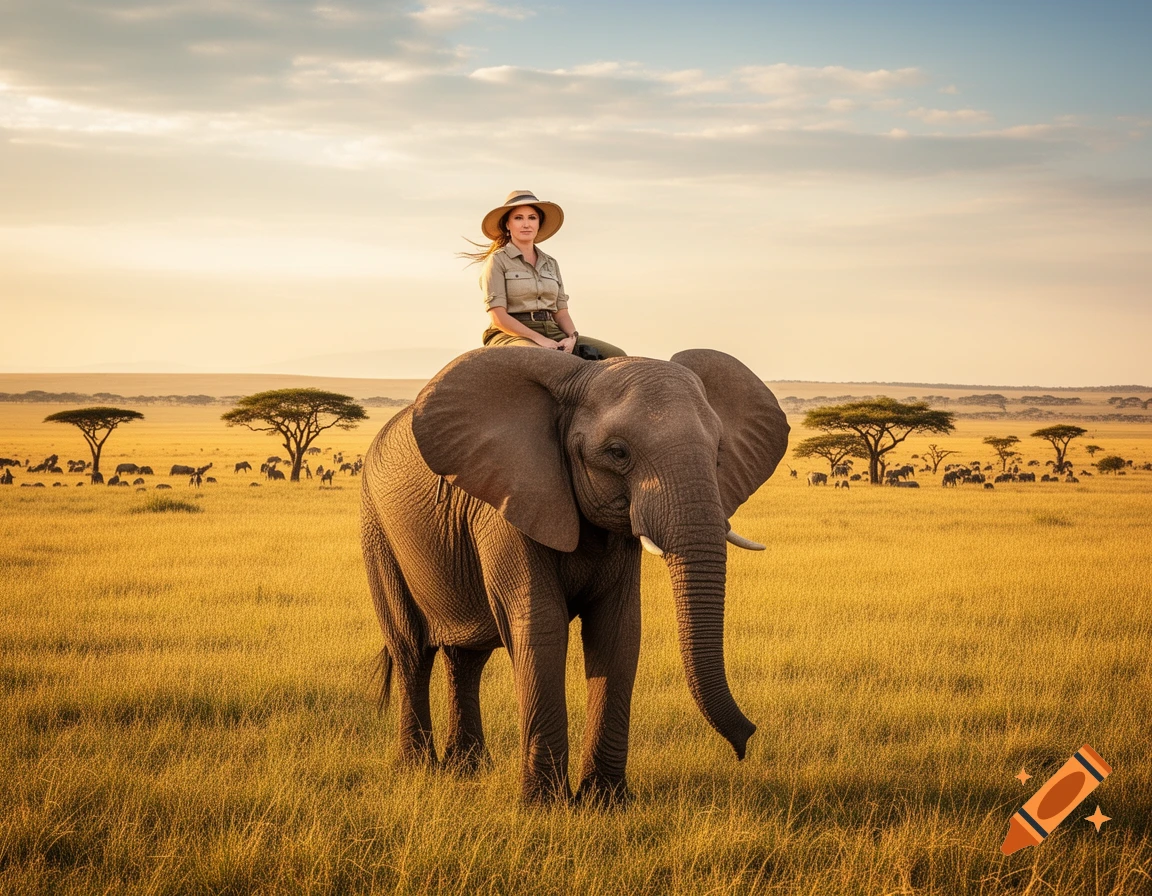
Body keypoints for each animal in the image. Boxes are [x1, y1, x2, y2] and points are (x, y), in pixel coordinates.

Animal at [360, 347, 789, 804]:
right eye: (618, 453)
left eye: (719, 452)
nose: (746, 741)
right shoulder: (508, 504)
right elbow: (541, 624)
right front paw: (544, 806)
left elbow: (617, 629)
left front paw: (606, 803)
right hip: (377, 529)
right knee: (411, 650)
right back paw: (418, 769)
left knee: (466, 657)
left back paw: (467, 769)